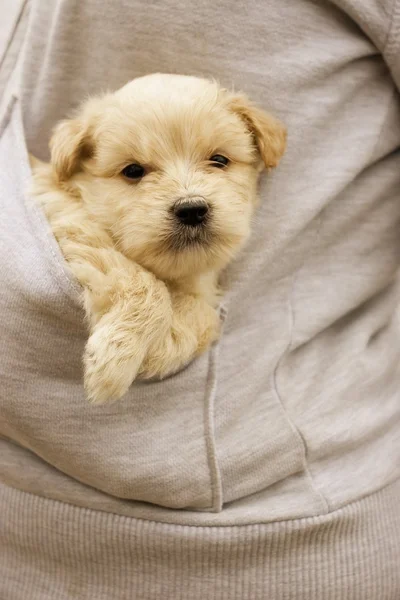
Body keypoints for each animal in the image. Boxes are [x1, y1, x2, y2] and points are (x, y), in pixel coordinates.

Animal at [31, 74, 288, 404]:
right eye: (133, 170)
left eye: (219, 160)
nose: (192, 209)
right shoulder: (69, 218)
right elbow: (145, 285)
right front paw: (115, 359)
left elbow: (205, 314)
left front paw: (170, 343)